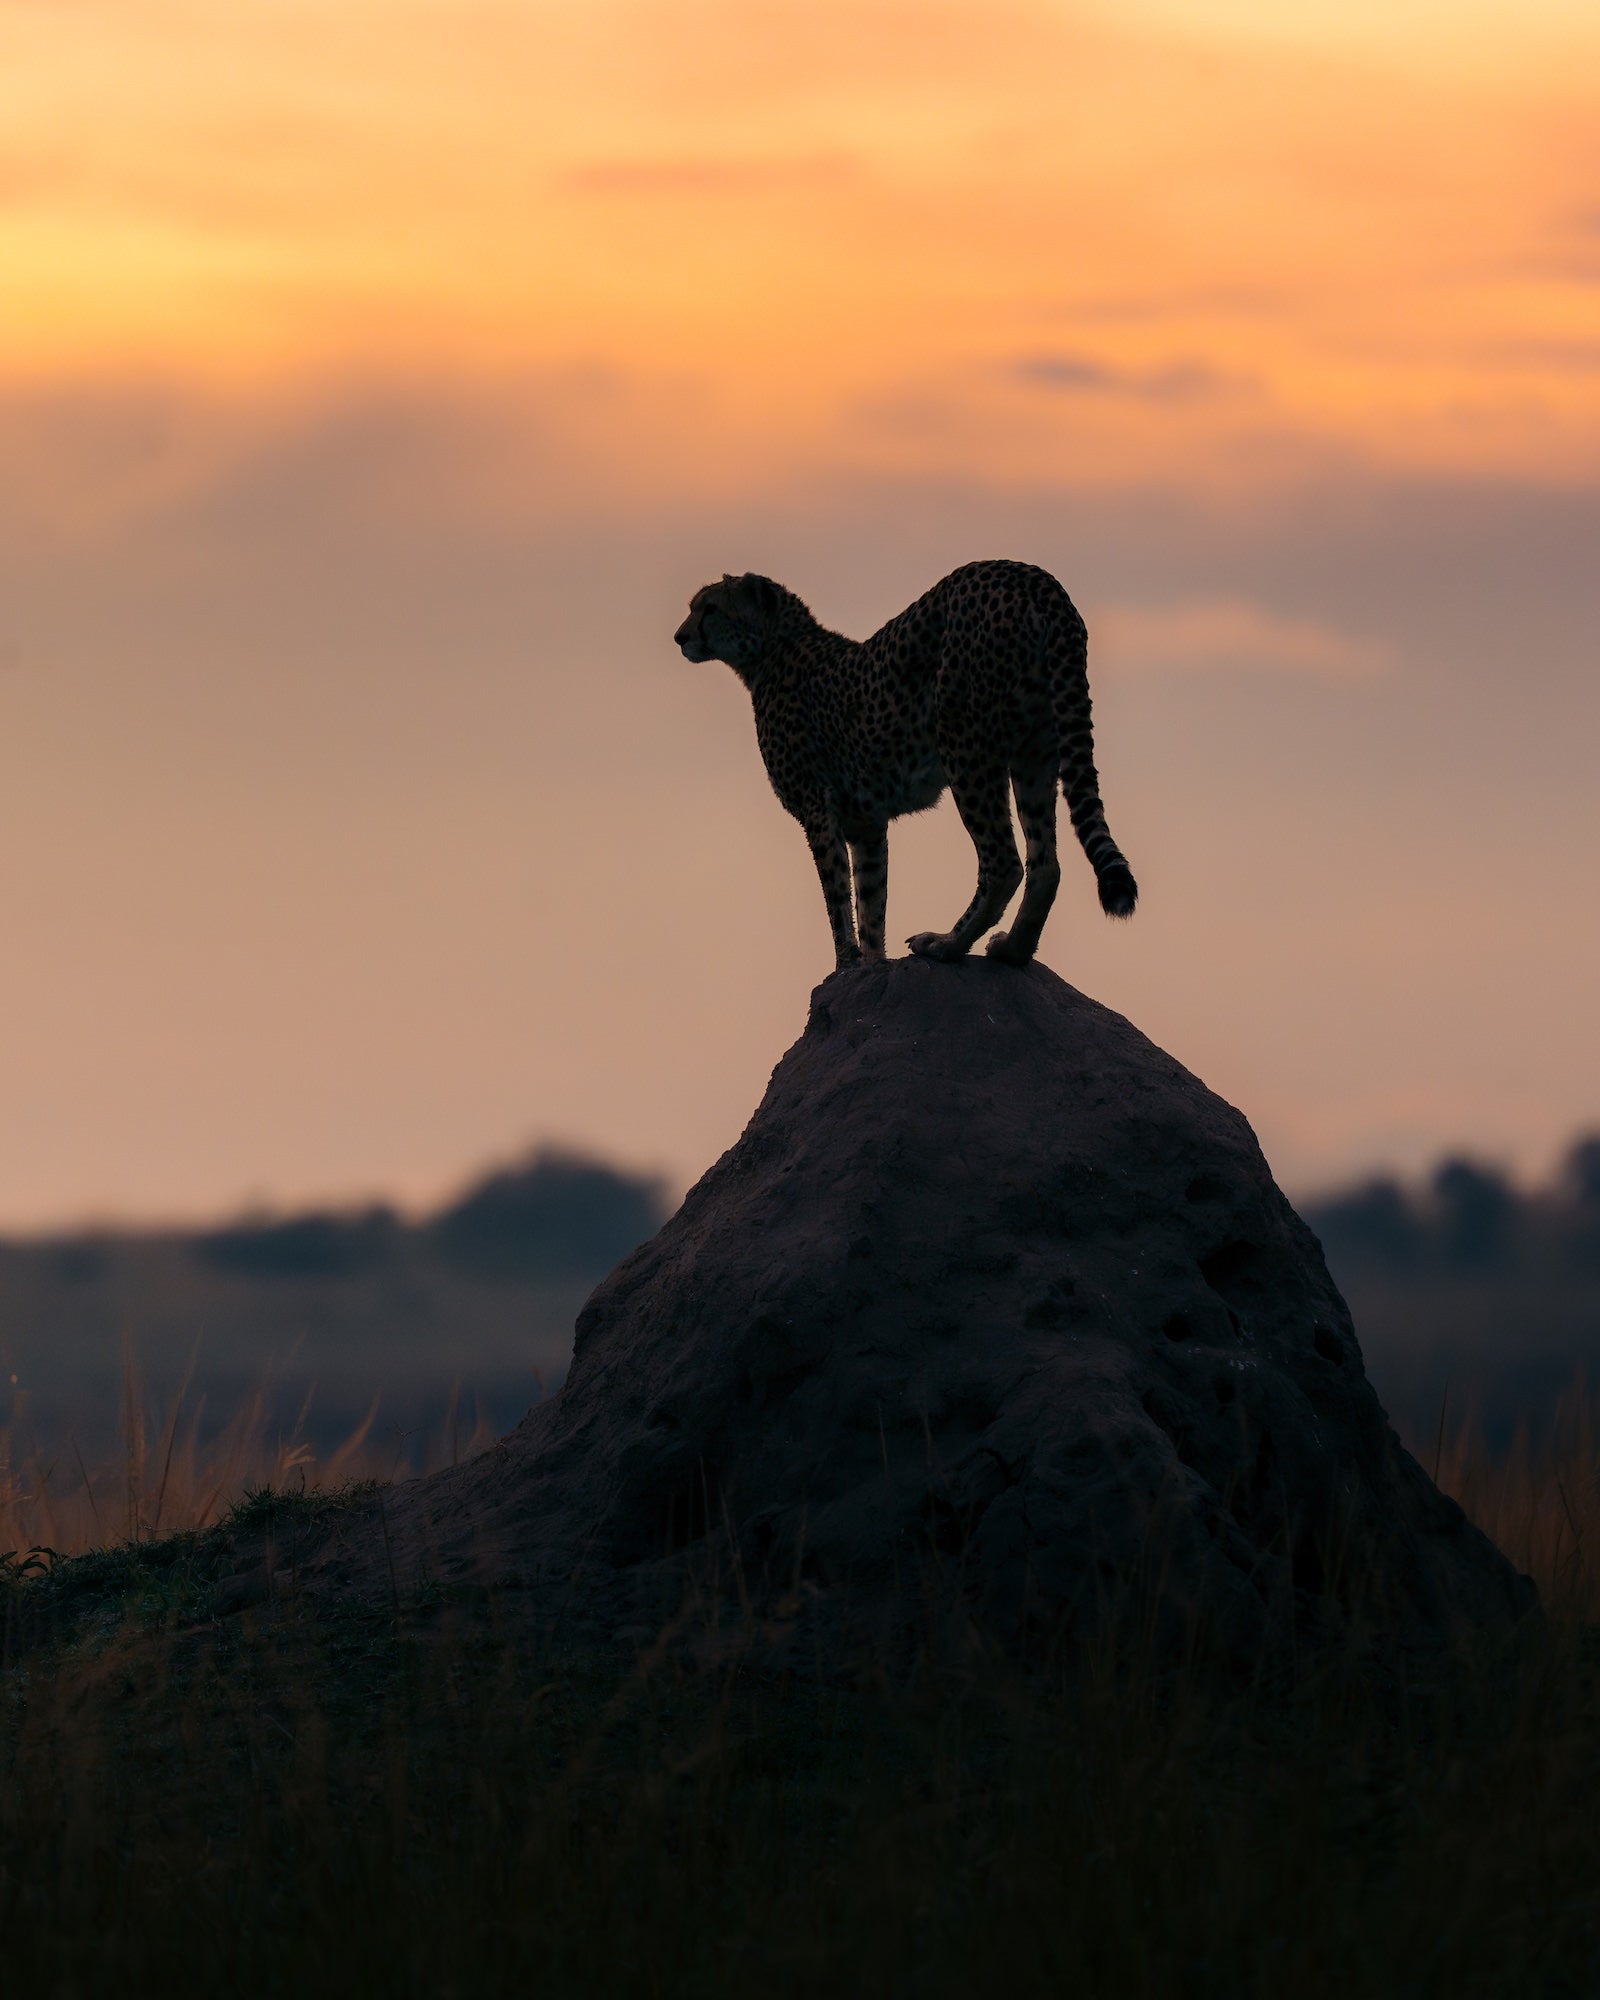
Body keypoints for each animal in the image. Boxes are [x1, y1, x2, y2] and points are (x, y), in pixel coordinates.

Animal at [673, 557, 1137, 971]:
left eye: (709, 608)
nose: (680, 637)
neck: (771, 651)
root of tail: (1030, 575)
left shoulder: (818, 809)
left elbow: (837, 896)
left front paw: (843, 966)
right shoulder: (866, 822)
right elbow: (870, 901)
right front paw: (872, 963)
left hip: (964, 742)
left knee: (1004, 862)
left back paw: (947, 944)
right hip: (1035, 748)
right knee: (1045, 864)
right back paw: (1012, 951)